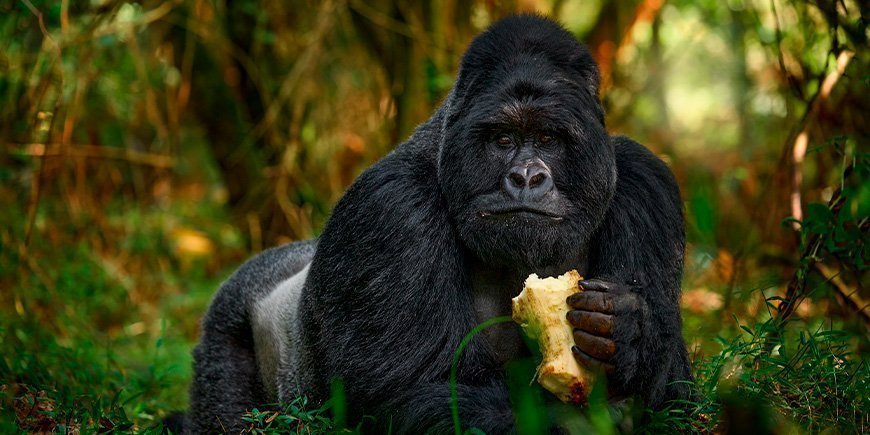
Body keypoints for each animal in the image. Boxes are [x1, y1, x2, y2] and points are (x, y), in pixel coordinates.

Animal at [184, 15, 696, 434]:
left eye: (549, 139)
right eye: (502, 139)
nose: (526, 177)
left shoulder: (645, 184)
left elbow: (676, 394)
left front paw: (628, 332)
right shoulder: (389, 208)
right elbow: (420, 392)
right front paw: (579, 423)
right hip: (224, 325)